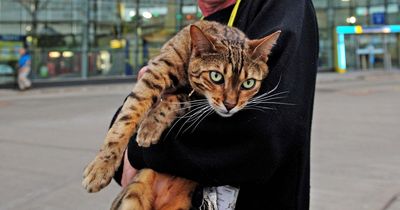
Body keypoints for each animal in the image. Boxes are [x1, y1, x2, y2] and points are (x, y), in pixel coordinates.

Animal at [81, 20, 282, 210]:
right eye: (216, 77)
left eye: (248, 83)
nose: (230, 105)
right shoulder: (156, 71)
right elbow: (128, 115)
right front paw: (101, 167)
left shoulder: (192, 98)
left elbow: (172, 101)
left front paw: (150, 127)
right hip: (133, 197)